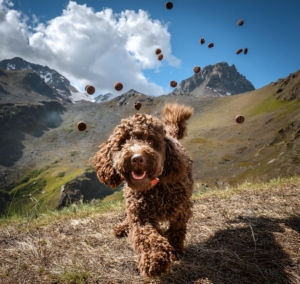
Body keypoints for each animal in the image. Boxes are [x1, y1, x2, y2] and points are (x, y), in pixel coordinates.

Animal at [92, 103, 193, 276]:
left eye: (150, 140)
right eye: (123, 141)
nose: (137, 158)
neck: (154, 189)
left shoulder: (181, 211)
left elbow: (177, 231)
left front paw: (175, 250)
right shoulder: (140, 216)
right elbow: (145, 236)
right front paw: (155, 259)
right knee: (130, 220)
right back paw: (123, 227)